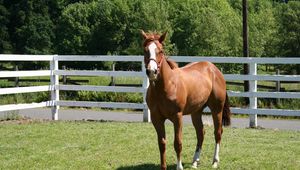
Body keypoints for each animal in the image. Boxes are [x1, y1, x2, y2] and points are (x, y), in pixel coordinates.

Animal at [142, 30, 231, 170]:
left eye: (160, 51)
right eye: (145, 50)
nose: (152, 71)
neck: (166, 86)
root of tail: (214, 69)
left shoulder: (177, 117)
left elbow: (178, 143)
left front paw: (179, 167)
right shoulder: (157, 118)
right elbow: (162, 144)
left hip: (217, 109)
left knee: (218, 132)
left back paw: (215, 161)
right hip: (196, 112)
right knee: (201, 133)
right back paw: (195, 161)